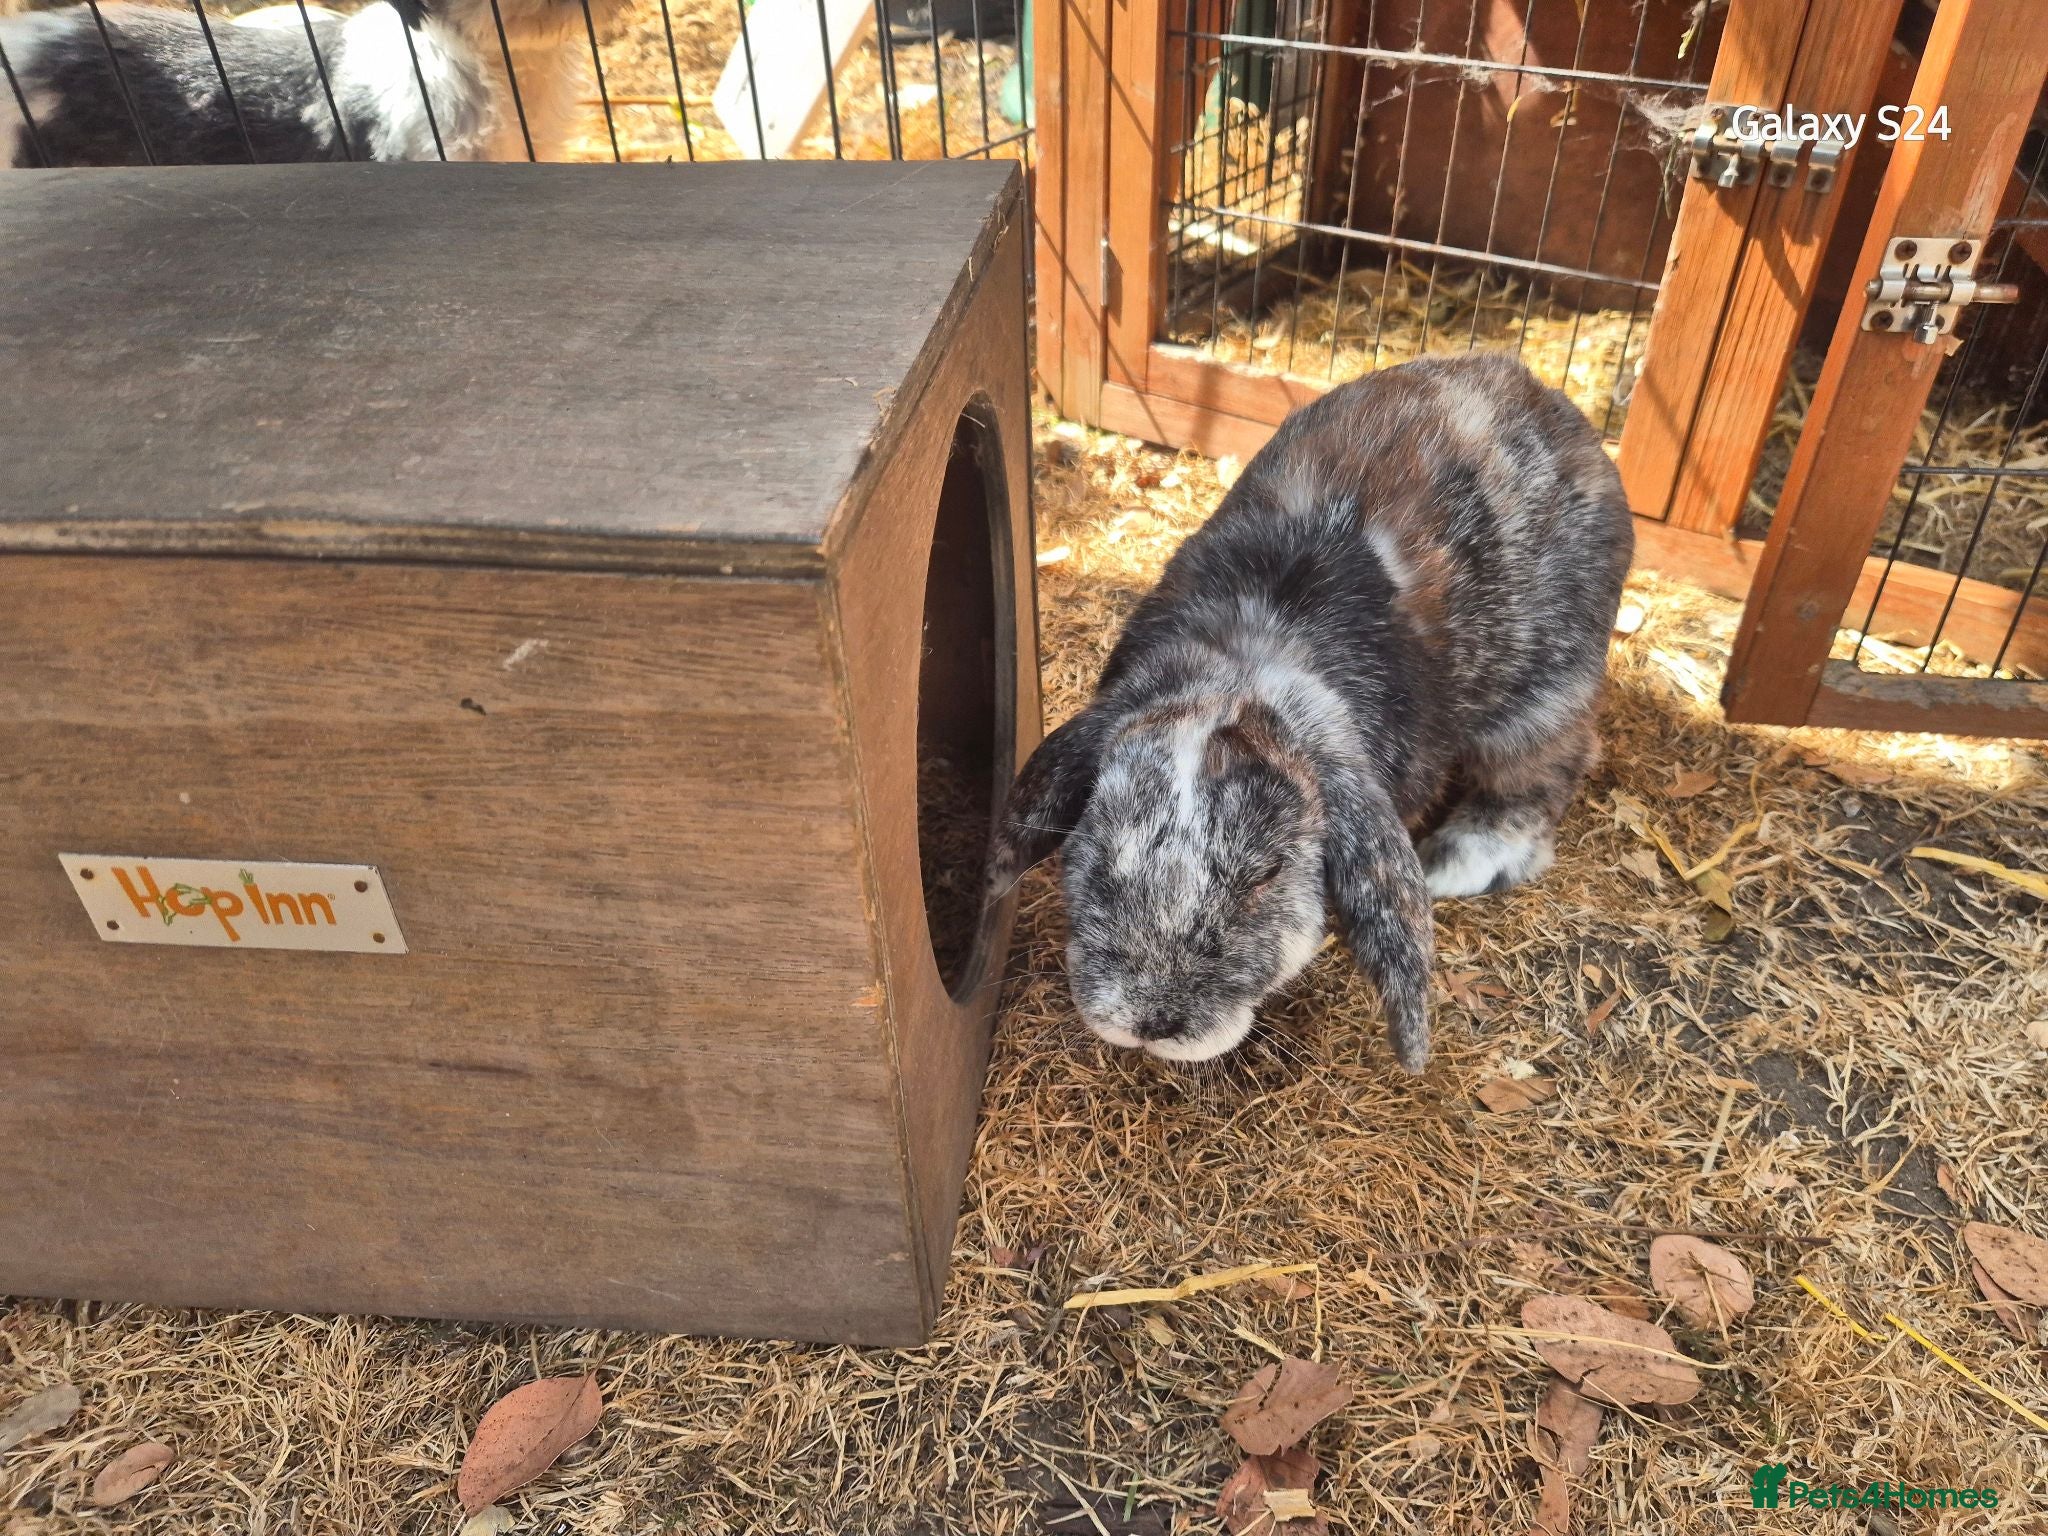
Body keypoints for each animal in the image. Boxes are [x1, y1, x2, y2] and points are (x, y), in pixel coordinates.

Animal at [989, 352, 1633, 1071]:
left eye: (1267, 875)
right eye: (1101, 855)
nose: (1149, 1022)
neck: (1250, 663)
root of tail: (1553, 407)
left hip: (1543, 695)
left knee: (1546, 768)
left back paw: (1460, 858)